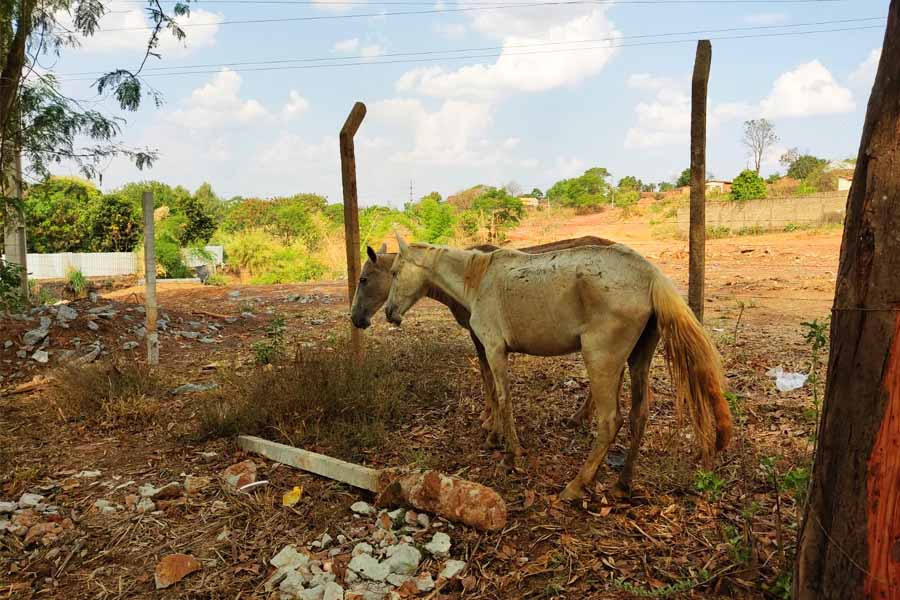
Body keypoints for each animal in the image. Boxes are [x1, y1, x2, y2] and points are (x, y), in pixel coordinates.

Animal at [348, 234, 616, 446]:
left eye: (364, 279)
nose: (356, 318)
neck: (465, 280)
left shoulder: (481, 335)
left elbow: (488, 376)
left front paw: (491, 423)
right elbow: (486, 375)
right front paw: (489, 418)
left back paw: (581, 417)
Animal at [382, 234, 732, 502]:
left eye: (396, 272)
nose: (389, 313)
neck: (479, 279)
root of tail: (650, 275)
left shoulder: (494, 349)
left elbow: (503, 398)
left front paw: (511, 454)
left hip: (600, 360)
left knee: (610, 421)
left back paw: (577, 485)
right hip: (638, 360)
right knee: (638, 416)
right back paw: (622, 483)